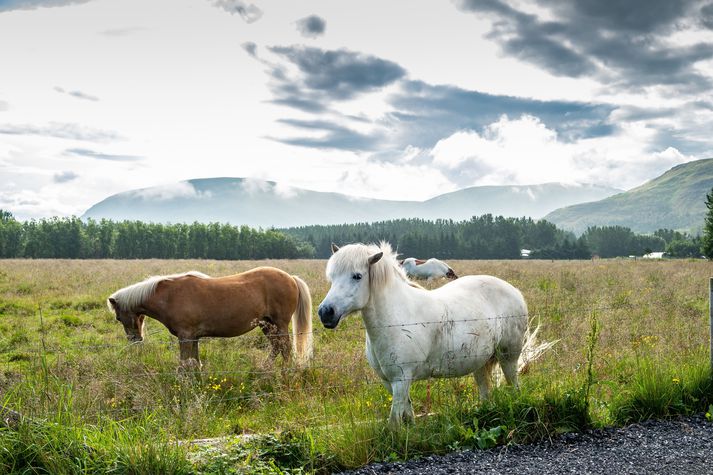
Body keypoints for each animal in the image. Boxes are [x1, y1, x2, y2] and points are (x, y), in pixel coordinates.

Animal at [108, 268, 312, 368]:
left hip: (279, 324)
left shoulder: (185, 337)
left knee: (285, 348)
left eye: (118, 318)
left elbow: (184, 363)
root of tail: (291, 278)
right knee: (277, 347)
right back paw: (264, 369)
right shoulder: (193, 337)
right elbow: (194, 362)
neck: (170, 296)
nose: (135, 340)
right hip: (267, 325)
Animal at [318, 244, 536, 426]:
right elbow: (407, 414)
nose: (325, 312)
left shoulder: (401, 380)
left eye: (357, 276)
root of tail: (515, 291)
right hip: (480, 362)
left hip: (508, 357)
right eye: (332, 277)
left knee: (514, 386)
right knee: (485, 391)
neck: (396, 317)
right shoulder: (389, 381)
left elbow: (394, 422)